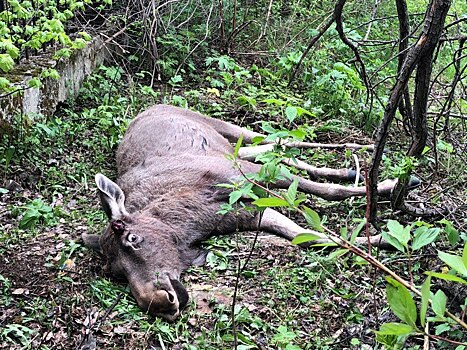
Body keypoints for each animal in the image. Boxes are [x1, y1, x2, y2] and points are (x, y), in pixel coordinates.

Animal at [83, 105, 420, 322]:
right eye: (116, 273)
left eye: (132, 238)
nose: (159, 304)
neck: (188, 223)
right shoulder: (245, 212)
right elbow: (305, 235)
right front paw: (386, 240)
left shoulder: (241, 176)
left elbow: (321, 191)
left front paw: (389, 189)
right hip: (232, 147)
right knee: (270, 147)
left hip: (224, 127)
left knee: (281, 139)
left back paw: (362, 150)